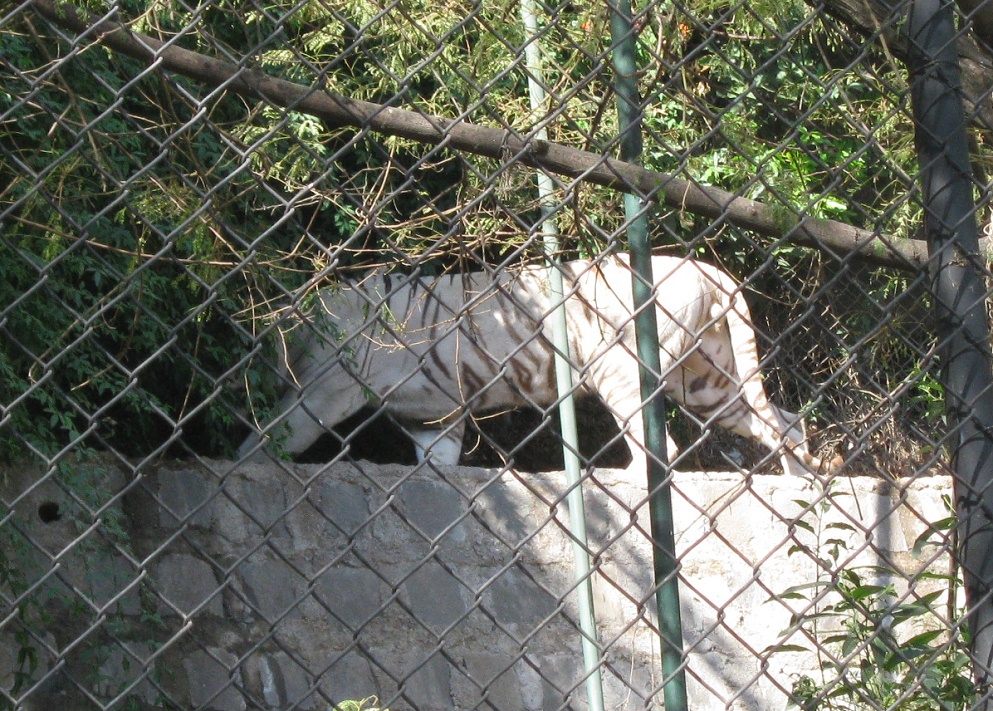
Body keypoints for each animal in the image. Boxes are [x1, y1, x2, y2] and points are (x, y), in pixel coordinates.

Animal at [238, 253, 843, 476]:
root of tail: (711, 269)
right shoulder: (434, 418)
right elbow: (438, 466)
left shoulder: (326, 391)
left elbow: (272, 436)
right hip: (710, 381)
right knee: (786, 423)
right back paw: (800, 489)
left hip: (623, 369)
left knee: (661, 450)